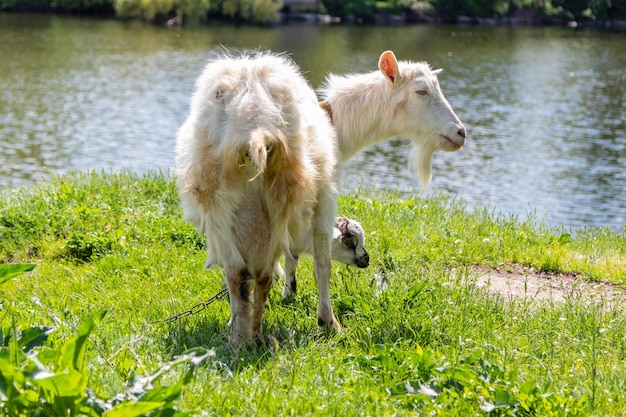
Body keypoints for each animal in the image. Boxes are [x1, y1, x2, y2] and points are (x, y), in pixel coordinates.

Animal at [174, 51, 342, 344]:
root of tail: (254, 125)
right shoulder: (324, 199)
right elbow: (322, 261)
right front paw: (327, 322)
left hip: (219, 205)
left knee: (238, 274)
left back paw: (241, 337)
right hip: (281, 202)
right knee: (264, 274)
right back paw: (258, 335)